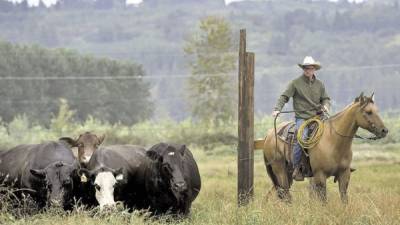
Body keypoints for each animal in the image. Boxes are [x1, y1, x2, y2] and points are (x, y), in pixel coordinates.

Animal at [255, 92, 390, 203]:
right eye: (368, 112)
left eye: (377, 110)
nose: (384, 131)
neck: (334, 142)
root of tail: (269, 135)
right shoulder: (320, 176)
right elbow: (323, 200)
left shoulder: (344, 174)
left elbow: (344, 198)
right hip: (279, 170)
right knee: (285, 193)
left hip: (287, 173)